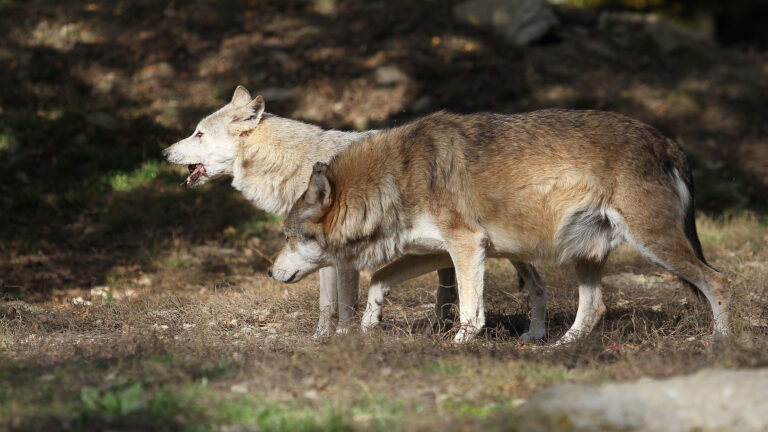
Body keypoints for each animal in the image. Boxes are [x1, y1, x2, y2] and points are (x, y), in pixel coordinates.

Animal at [160, 84, 544, 340]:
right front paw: (320, 339)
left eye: (198, 134)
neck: (298, 165)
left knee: (535, 285)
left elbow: (344, 303)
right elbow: (325, 305)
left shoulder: (342, 256)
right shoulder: (324, 256)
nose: (163, 152)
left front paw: (345, 337)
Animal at [272, 109, 732, 344]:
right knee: (594, 308)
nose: (272, 272)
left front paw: (459, 345)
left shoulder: (466, 247)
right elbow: (380, 279)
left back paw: (722, 343)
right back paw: (558, 348)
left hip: (655, 245)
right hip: (586, 255)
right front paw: (369, 327)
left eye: (289, 237)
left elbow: (470, 313)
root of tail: (669, 142)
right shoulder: (442, 251)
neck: (396, 178)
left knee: (719, 282)